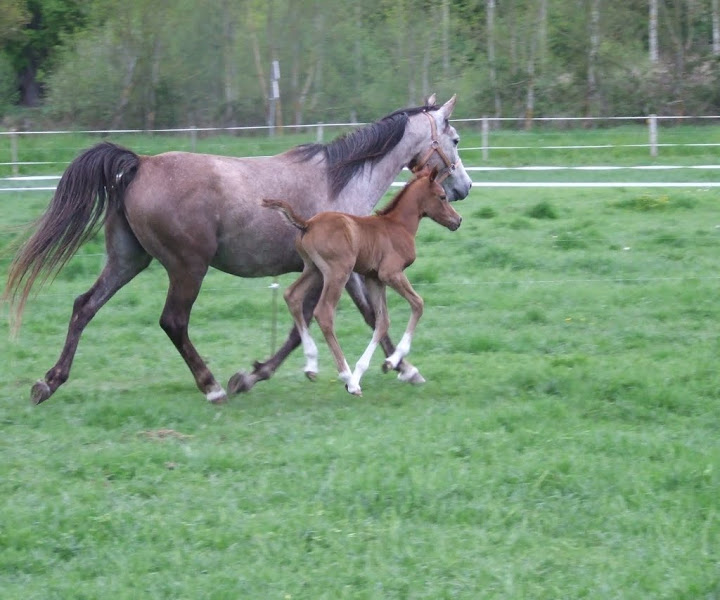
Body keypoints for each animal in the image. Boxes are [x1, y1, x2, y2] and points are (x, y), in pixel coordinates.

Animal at [262, 166, 462, 396]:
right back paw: (346, 377)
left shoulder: (374, 279)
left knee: (292, 296)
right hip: (338, 272)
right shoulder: (391, 274)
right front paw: (390, 362)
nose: (458, 220)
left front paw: (380, 366)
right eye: (442, 196)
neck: (398, 225)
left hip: (314, 270)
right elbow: (418, 304)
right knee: (324, 312)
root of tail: (308, 223)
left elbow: (382, 321)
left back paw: (312, 365)